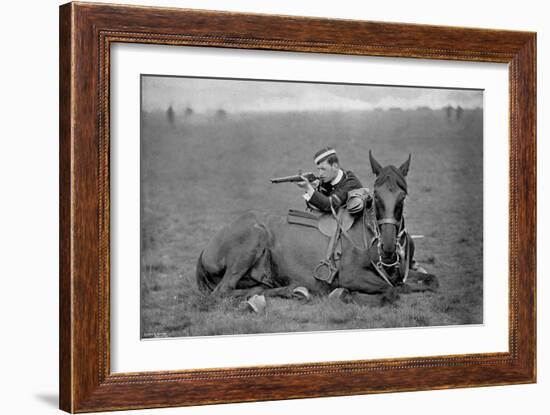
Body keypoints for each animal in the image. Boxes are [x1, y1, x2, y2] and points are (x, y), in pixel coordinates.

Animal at [197, 151, 440, 304]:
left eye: (402, 197)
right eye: (377, 195)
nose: (388, 248)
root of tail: (205, 250)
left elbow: (429, 281)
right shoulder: (351, 276)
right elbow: (390, 291)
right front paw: (345, 295)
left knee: (253, 289)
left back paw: (293, 290)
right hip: (254, 237)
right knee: (222, 292)